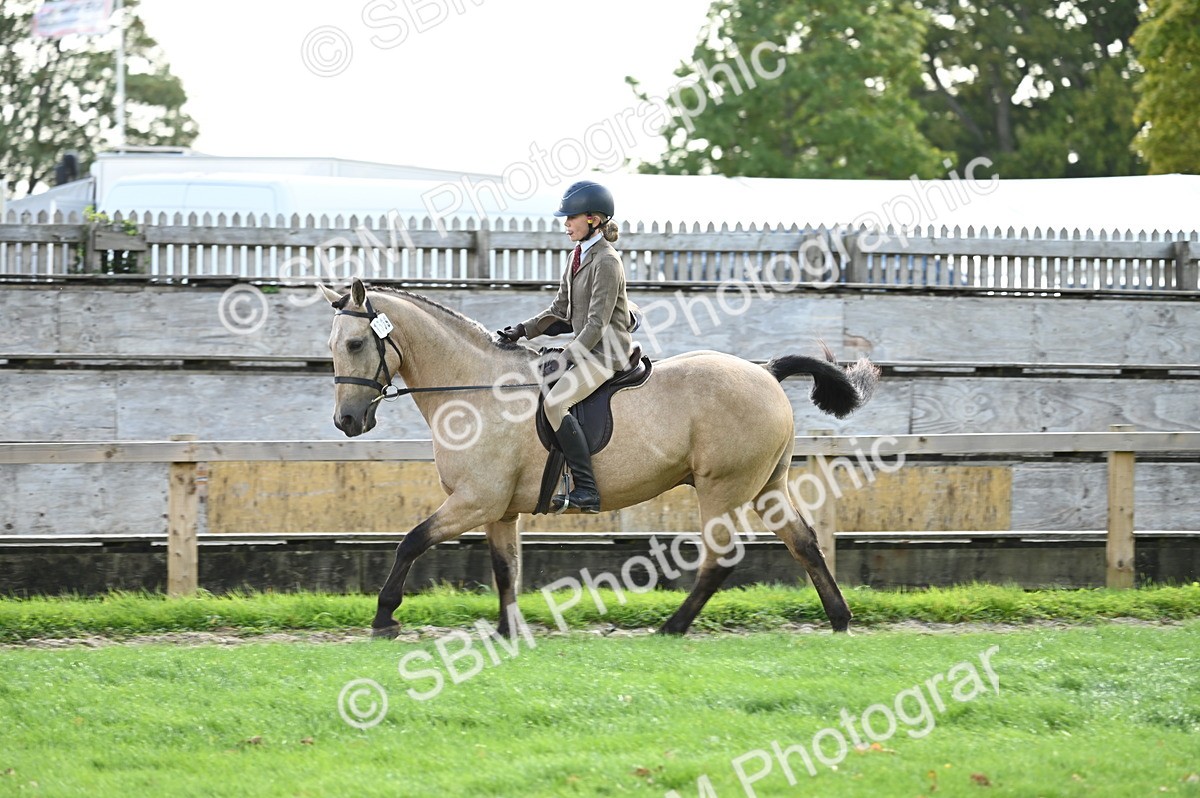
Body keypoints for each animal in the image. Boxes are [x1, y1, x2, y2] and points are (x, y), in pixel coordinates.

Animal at [320, 278, 879, 638]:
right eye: (333, 346)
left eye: (356, 343)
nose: (347, 422)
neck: (477, 389)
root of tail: (765, 372)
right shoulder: (499, 509)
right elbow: (505, 569)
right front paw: (506, 631)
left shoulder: (475, 501)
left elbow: (410, 542)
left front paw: (384, 617)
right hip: (766, 487)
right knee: (804, 543)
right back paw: (839, 619)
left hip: (723, 488)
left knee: (721, 558)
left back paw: (673, 626)